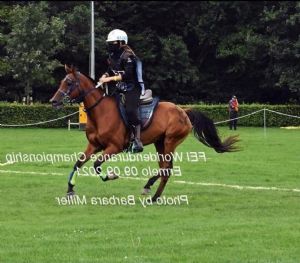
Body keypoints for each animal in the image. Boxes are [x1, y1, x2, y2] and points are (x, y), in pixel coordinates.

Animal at [51, 65, 239, 201]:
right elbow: (78, 163)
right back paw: (150, 190)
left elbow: (96, 165)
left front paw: (110, 176)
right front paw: (70, 190)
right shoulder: (94, 145)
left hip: (170, 141)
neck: (101, 113)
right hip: (160, 142)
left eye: (69, 82)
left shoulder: (114, 147)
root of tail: (183, 111)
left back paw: (152, 193)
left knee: (167, 169)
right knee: (165, 168)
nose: (53, 101)